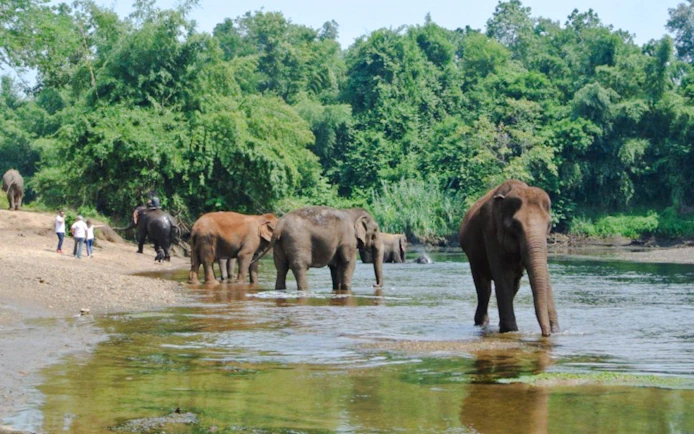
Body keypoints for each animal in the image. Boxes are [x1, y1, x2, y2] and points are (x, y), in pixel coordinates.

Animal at [458, 180, 559, 337]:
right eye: (516, 226)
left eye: (549, 225)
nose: (546, 333)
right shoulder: (490, 231)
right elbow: (502, 275)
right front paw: (510, 330)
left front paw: (556, 331)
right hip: (472, 256)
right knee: (484, 288)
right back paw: (481, 323)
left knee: (514, 285)